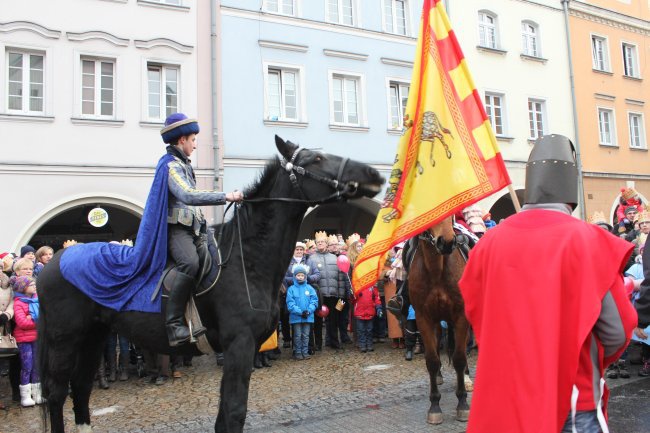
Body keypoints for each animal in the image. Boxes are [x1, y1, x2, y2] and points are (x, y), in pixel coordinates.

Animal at [38, 136, 382, 432]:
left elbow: (224, 417)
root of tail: (55, 262)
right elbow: (234, 413)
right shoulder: (239, 345)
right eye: (317, 159)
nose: (372, 174)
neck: (247, 258)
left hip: (93, 337)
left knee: (81, 390)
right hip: (64, 341)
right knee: (57, 394)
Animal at [408, 215, 468, 422]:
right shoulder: (423, 318)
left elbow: (459, 358)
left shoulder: (461, 316)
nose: (447, 242)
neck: (436, 269)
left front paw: (463, 403)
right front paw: (434, 406)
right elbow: (432, 360)